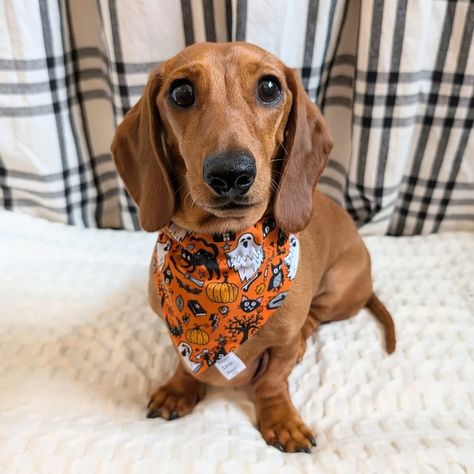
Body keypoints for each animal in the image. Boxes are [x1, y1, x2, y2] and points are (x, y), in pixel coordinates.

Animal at [112, 42, 396, 454]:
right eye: (181, 92)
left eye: (269, 87)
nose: (231, 173)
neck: (224, 243)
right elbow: (185, 362)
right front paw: (180, 388)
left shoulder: (280, 347)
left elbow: (273, 379)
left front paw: (281, 420)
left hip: (339, 287)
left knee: (313, 320)